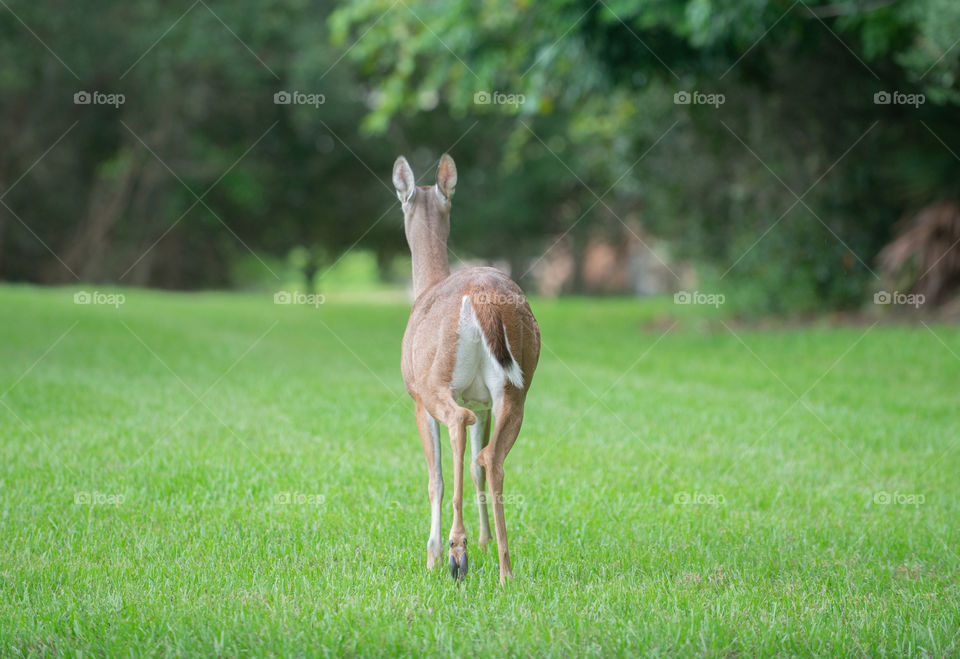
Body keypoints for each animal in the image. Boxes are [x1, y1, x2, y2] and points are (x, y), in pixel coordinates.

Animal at [393, 153, 540, 585]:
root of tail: (481, 296)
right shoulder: (484, 404)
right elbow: (475, 466)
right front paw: (484, 542)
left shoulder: (416, 398)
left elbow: (436, 477)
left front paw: (435, 553)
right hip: (515, 388)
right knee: (491, 458)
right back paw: (505, 568)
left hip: (436, 381)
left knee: (458, 424)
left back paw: (455, 553)